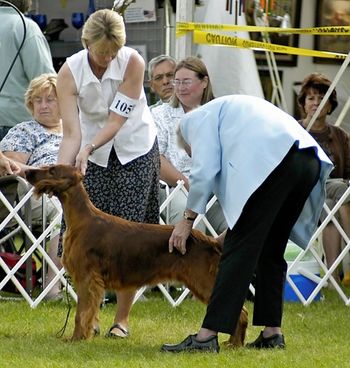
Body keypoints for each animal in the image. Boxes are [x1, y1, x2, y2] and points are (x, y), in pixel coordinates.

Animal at [26, 165, 247, 346]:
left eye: (52, 170)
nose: (28, 173)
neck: (81, 219)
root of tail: (209, 240)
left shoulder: (87, 279)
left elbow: (81, 314)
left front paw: (76, 339)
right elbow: (88, 313)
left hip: (203, 281)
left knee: (241, 312)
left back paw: (234, 345)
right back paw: (233, 344)